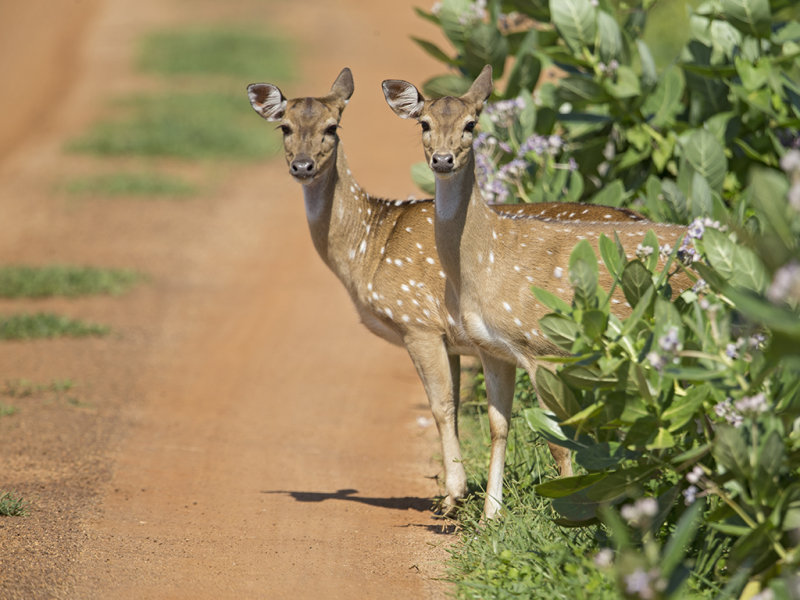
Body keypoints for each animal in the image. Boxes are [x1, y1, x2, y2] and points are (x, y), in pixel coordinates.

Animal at [250, 69, 648, 510]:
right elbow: (456, 405)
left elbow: (440, 406)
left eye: (332, 127)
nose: (302, 166)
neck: (369, 246)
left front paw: (452, 496)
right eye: (284, 126)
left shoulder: (417, 322)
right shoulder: (454, 339)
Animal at [382, 64, 692, 516]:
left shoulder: (542, 345)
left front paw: (574, 512)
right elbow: (498, 426)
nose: (442, 159)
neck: (486, 261)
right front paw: (491, 515)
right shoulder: (493, 349)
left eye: (471, 124)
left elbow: (559, 441)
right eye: (423, 123)